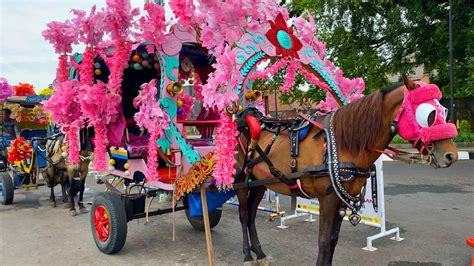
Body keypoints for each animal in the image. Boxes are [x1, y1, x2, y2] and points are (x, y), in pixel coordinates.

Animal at [236, 75, 460, 266]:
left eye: (444, 110)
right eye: (428, 114)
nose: (451, 155)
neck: (342, 144)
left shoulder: (339, 200)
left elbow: (333, 240)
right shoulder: (327, 199)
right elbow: (324, 241)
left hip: (259, 184)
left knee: (252, 214)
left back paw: (260, 253)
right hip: (241, 182)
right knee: (244, 215)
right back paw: (247, 255)